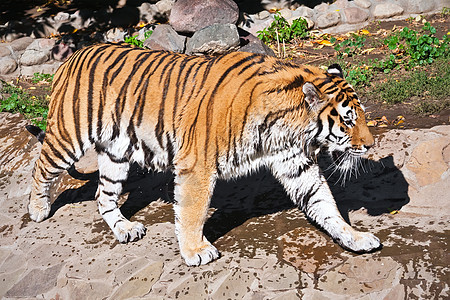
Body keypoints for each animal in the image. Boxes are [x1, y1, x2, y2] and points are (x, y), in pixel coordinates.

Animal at [27, 42, 380, 264]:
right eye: (348, 121)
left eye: (362, 116)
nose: (370, 145)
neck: (289, 128)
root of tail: (71, 57)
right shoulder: (197, 166)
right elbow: (193, 211)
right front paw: (195, 251)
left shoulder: (297, 164)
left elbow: (326, 205)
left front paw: (355, 237)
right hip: (68, 136)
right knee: (40, 167)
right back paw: (37, 209)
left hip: (116, 152)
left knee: (104, 195)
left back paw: (125, 229)